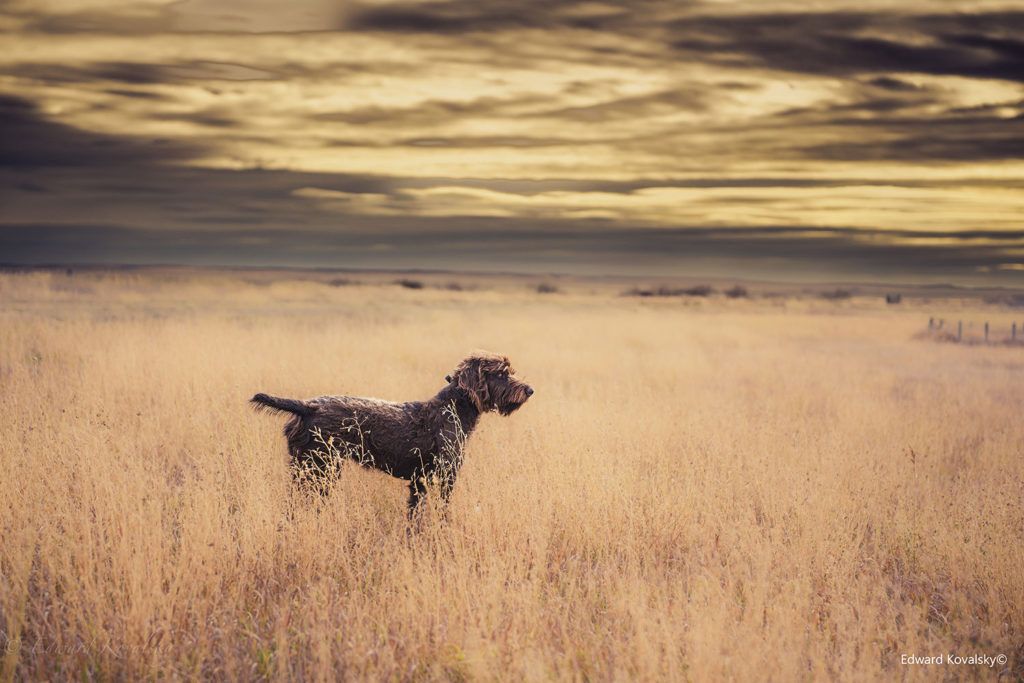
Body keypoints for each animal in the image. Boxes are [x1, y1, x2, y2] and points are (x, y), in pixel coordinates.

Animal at [250, 352, 532, 511]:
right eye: (501, 374)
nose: (530, 390)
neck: (453, 408)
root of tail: (308, 406)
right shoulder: (444, 479)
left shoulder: (419, 484)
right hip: (319, 470)